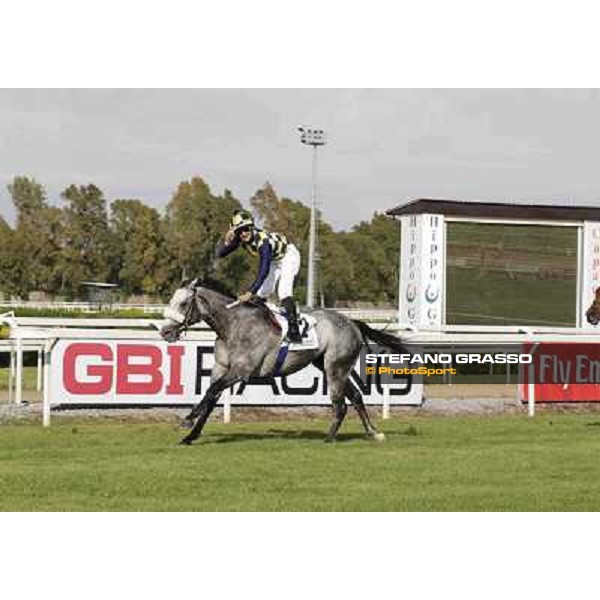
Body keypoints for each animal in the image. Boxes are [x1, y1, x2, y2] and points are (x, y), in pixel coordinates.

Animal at [158, 278, 408, 442]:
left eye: (183, 304)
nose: (165, 332)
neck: (233, 325)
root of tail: (352, 323)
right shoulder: (221, 369)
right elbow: (210, 398)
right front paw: (191, 435)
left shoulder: (241, 371)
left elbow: (211, 393)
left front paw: (188, 419)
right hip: (329, 366)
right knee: (355, 396)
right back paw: (373, 431)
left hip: (335, 367)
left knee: (340, 403)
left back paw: (329, 437)